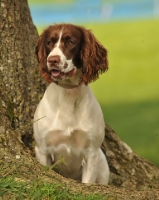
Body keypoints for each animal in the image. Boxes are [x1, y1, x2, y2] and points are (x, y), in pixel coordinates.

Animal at [33, 23, 109, 184]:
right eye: (49, 42)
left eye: (70, 42)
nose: (52, 60)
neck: (68, 94)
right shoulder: (42, 149)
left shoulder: (92, 153)